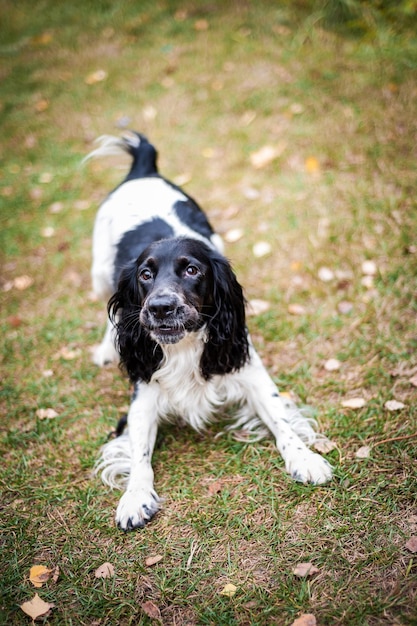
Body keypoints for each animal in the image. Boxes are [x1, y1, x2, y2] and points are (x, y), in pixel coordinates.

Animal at [88, 134, 332, 528]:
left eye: (192, 270)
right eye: (145, 274)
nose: (160, 307)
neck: (185, 346)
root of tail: (143, 168)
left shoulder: (247, 367)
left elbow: (281, 419)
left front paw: (305, 458)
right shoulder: (142, 396)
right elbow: (139, 453)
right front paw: (135, 497)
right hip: (98, 271)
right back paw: (107, 348)